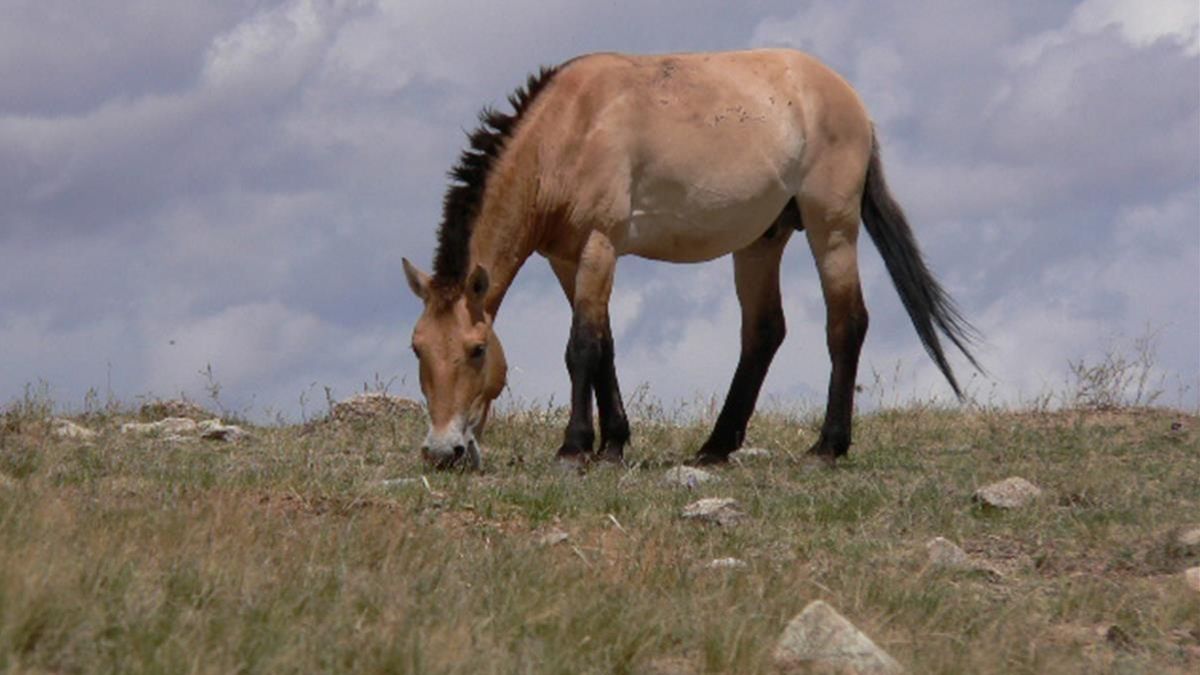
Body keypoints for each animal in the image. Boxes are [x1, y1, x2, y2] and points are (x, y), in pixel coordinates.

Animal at [398, 48, 979, 468]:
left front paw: (575, 448)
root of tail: (846, 96)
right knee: (764, 332)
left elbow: (581, 347)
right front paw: (614, 444)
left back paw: (827, 447)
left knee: (846, 324)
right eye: (417, 348)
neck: (568, 131)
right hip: (761, 241)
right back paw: (716, 446)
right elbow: (605, 346)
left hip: (831, 228)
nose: (442, 451)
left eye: (476, 350)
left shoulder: (599, 246)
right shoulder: (566, 260)